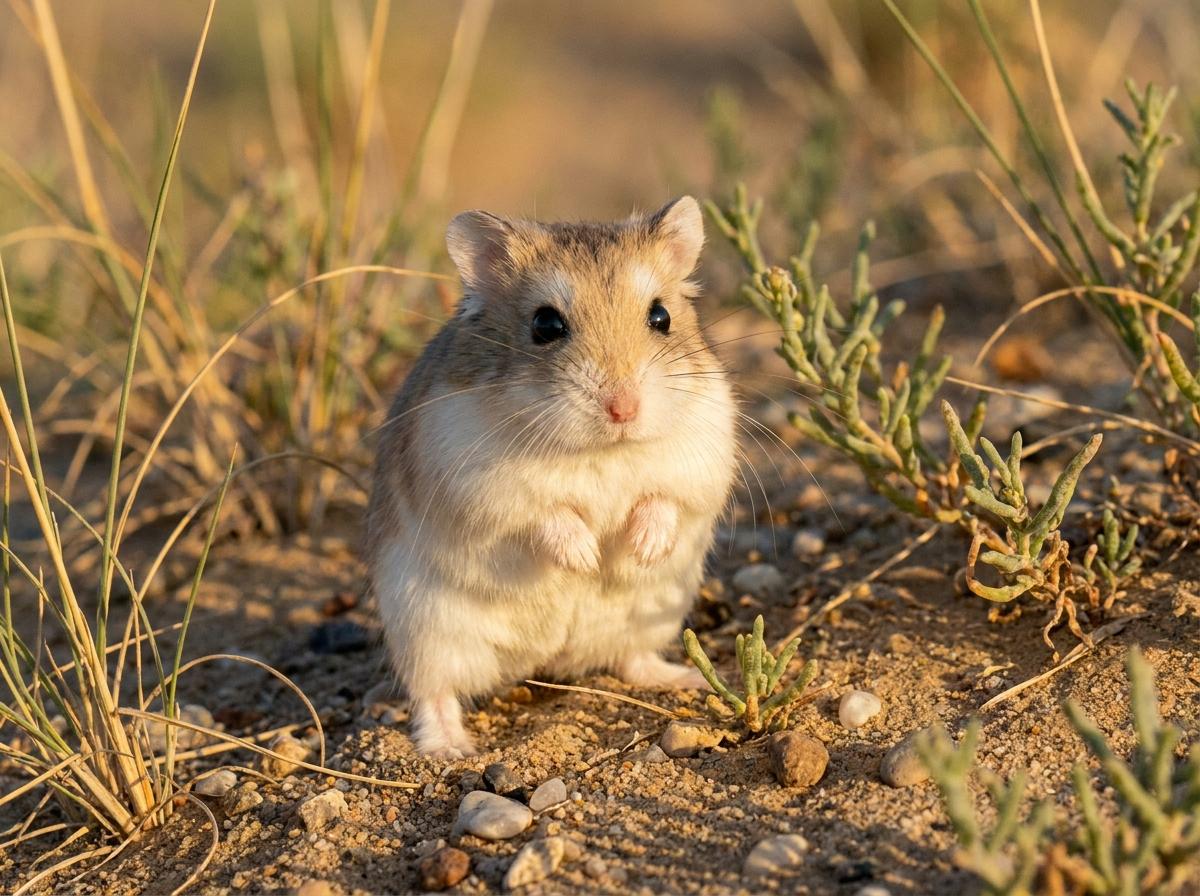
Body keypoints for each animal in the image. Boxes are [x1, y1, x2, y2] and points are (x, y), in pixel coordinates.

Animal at [366, 196, 737, 757]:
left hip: (652, 614)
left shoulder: (700, 460)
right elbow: (547, 513)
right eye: (545, 325)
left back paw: (687, 678)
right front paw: (585, 559)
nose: (624, 409)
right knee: (434, 695)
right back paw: (451, 749)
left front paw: (640, 549)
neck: (602, 450)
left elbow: (664, 500)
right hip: (426, 632)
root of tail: (545, 658)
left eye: (661, 316)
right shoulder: (480, 482)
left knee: (633, 659)